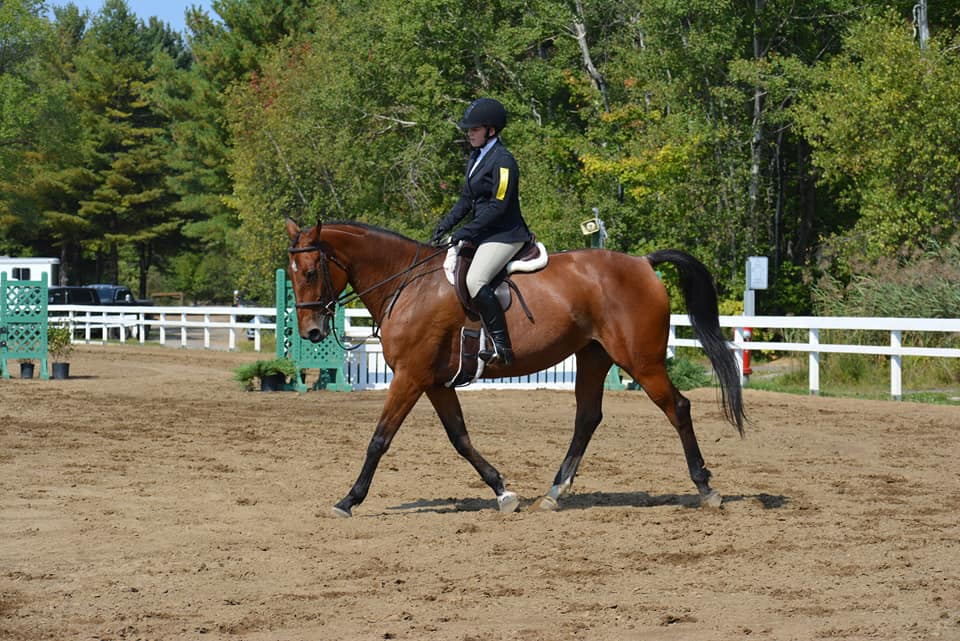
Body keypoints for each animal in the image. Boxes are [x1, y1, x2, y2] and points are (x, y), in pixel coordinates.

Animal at [284, 218, 744, 516]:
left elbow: (379, 439)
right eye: (290, 274)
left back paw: (706, 488)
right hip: (593, 356)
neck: (405, 283)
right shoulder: (435, 382)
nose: (310, 332)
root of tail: (643, 262)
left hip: (642, 361)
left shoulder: (410, 378)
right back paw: (554, 493)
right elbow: (460, 439)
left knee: (677, 408)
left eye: (309, 271)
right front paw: (503, 491)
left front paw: (349, 500)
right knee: (587, 418)